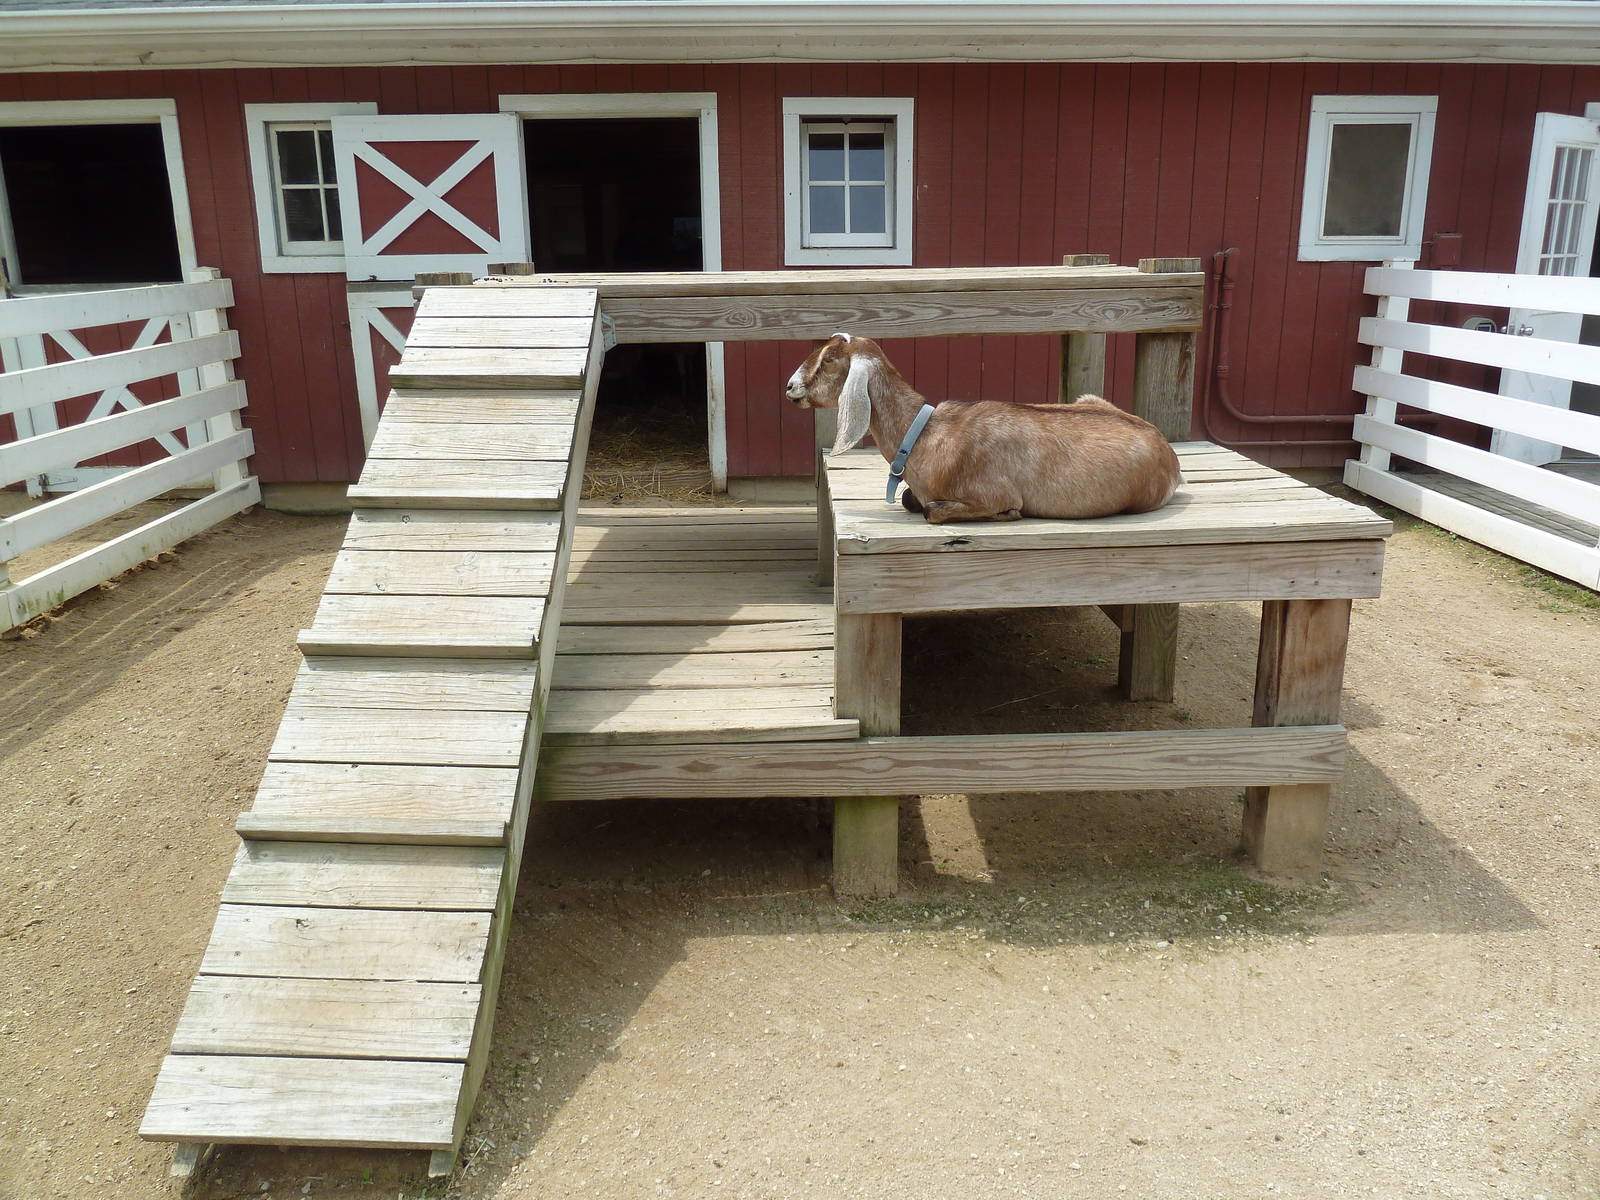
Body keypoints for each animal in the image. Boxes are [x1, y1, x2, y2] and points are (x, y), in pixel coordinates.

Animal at [786, 333, 1184, 523]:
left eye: (830, 359)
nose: (790, 387)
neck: (925, 434)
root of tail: (1170, 455)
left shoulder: (993, 492)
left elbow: (932, 510)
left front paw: (1008, 515)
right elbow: (912, 499)